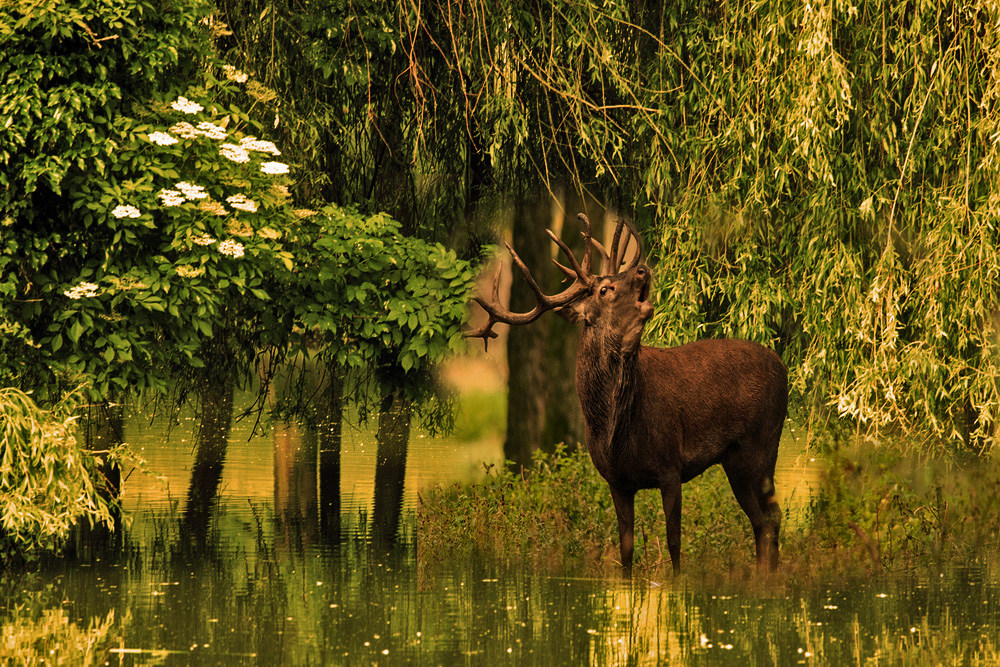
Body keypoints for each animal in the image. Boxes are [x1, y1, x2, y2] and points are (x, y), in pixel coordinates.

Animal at [468, 214, 788, 576]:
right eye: (604, 289)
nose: (641, 269)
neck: (616, 430)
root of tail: (783, 367)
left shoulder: (670, 465)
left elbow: (674, 542)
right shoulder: (616, 480)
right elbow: (626, 549)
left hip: (763, 443)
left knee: (773, 517)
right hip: (735, 459)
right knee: (762, 521)